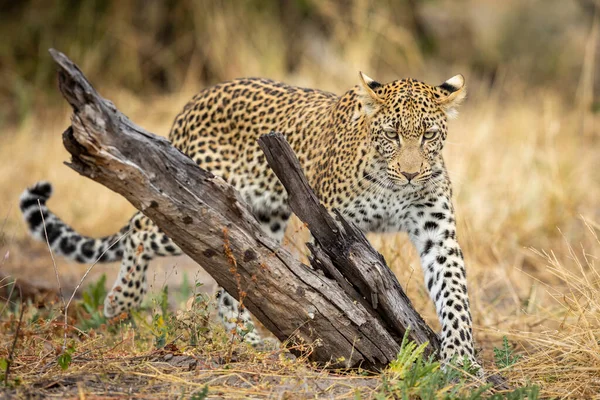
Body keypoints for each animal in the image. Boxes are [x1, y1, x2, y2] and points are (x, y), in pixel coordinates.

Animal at [19, 71, 478, 368]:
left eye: (428, 135)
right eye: (392, 134)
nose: (411, 173)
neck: (392, 185)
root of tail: (194, 101)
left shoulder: (437, 232)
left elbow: (454, 293)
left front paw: (463, 360)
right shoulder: (330, 229)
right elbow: (336, 289)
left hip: (254, 219)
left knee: (234, 286)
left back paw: (251, 344)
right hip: (194, 198)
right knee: (142, 223)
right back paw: (121, 299)